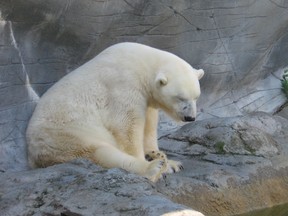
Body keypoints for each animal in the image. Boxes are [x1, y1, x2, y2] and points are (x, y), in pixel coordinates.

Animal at [25, 41, 204, 181]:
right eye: (180, 98)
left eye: (196, 97)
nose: (190, 118)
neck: (142, 63)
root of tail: (32, 156)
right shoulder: (124, 85)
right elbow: (127, 126)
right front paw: (152, 160)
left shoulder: (146, 97)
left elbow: (149, 127)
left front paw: (167, 160)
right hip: (65, 135)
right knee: (99, 152)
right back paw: (153, 167)